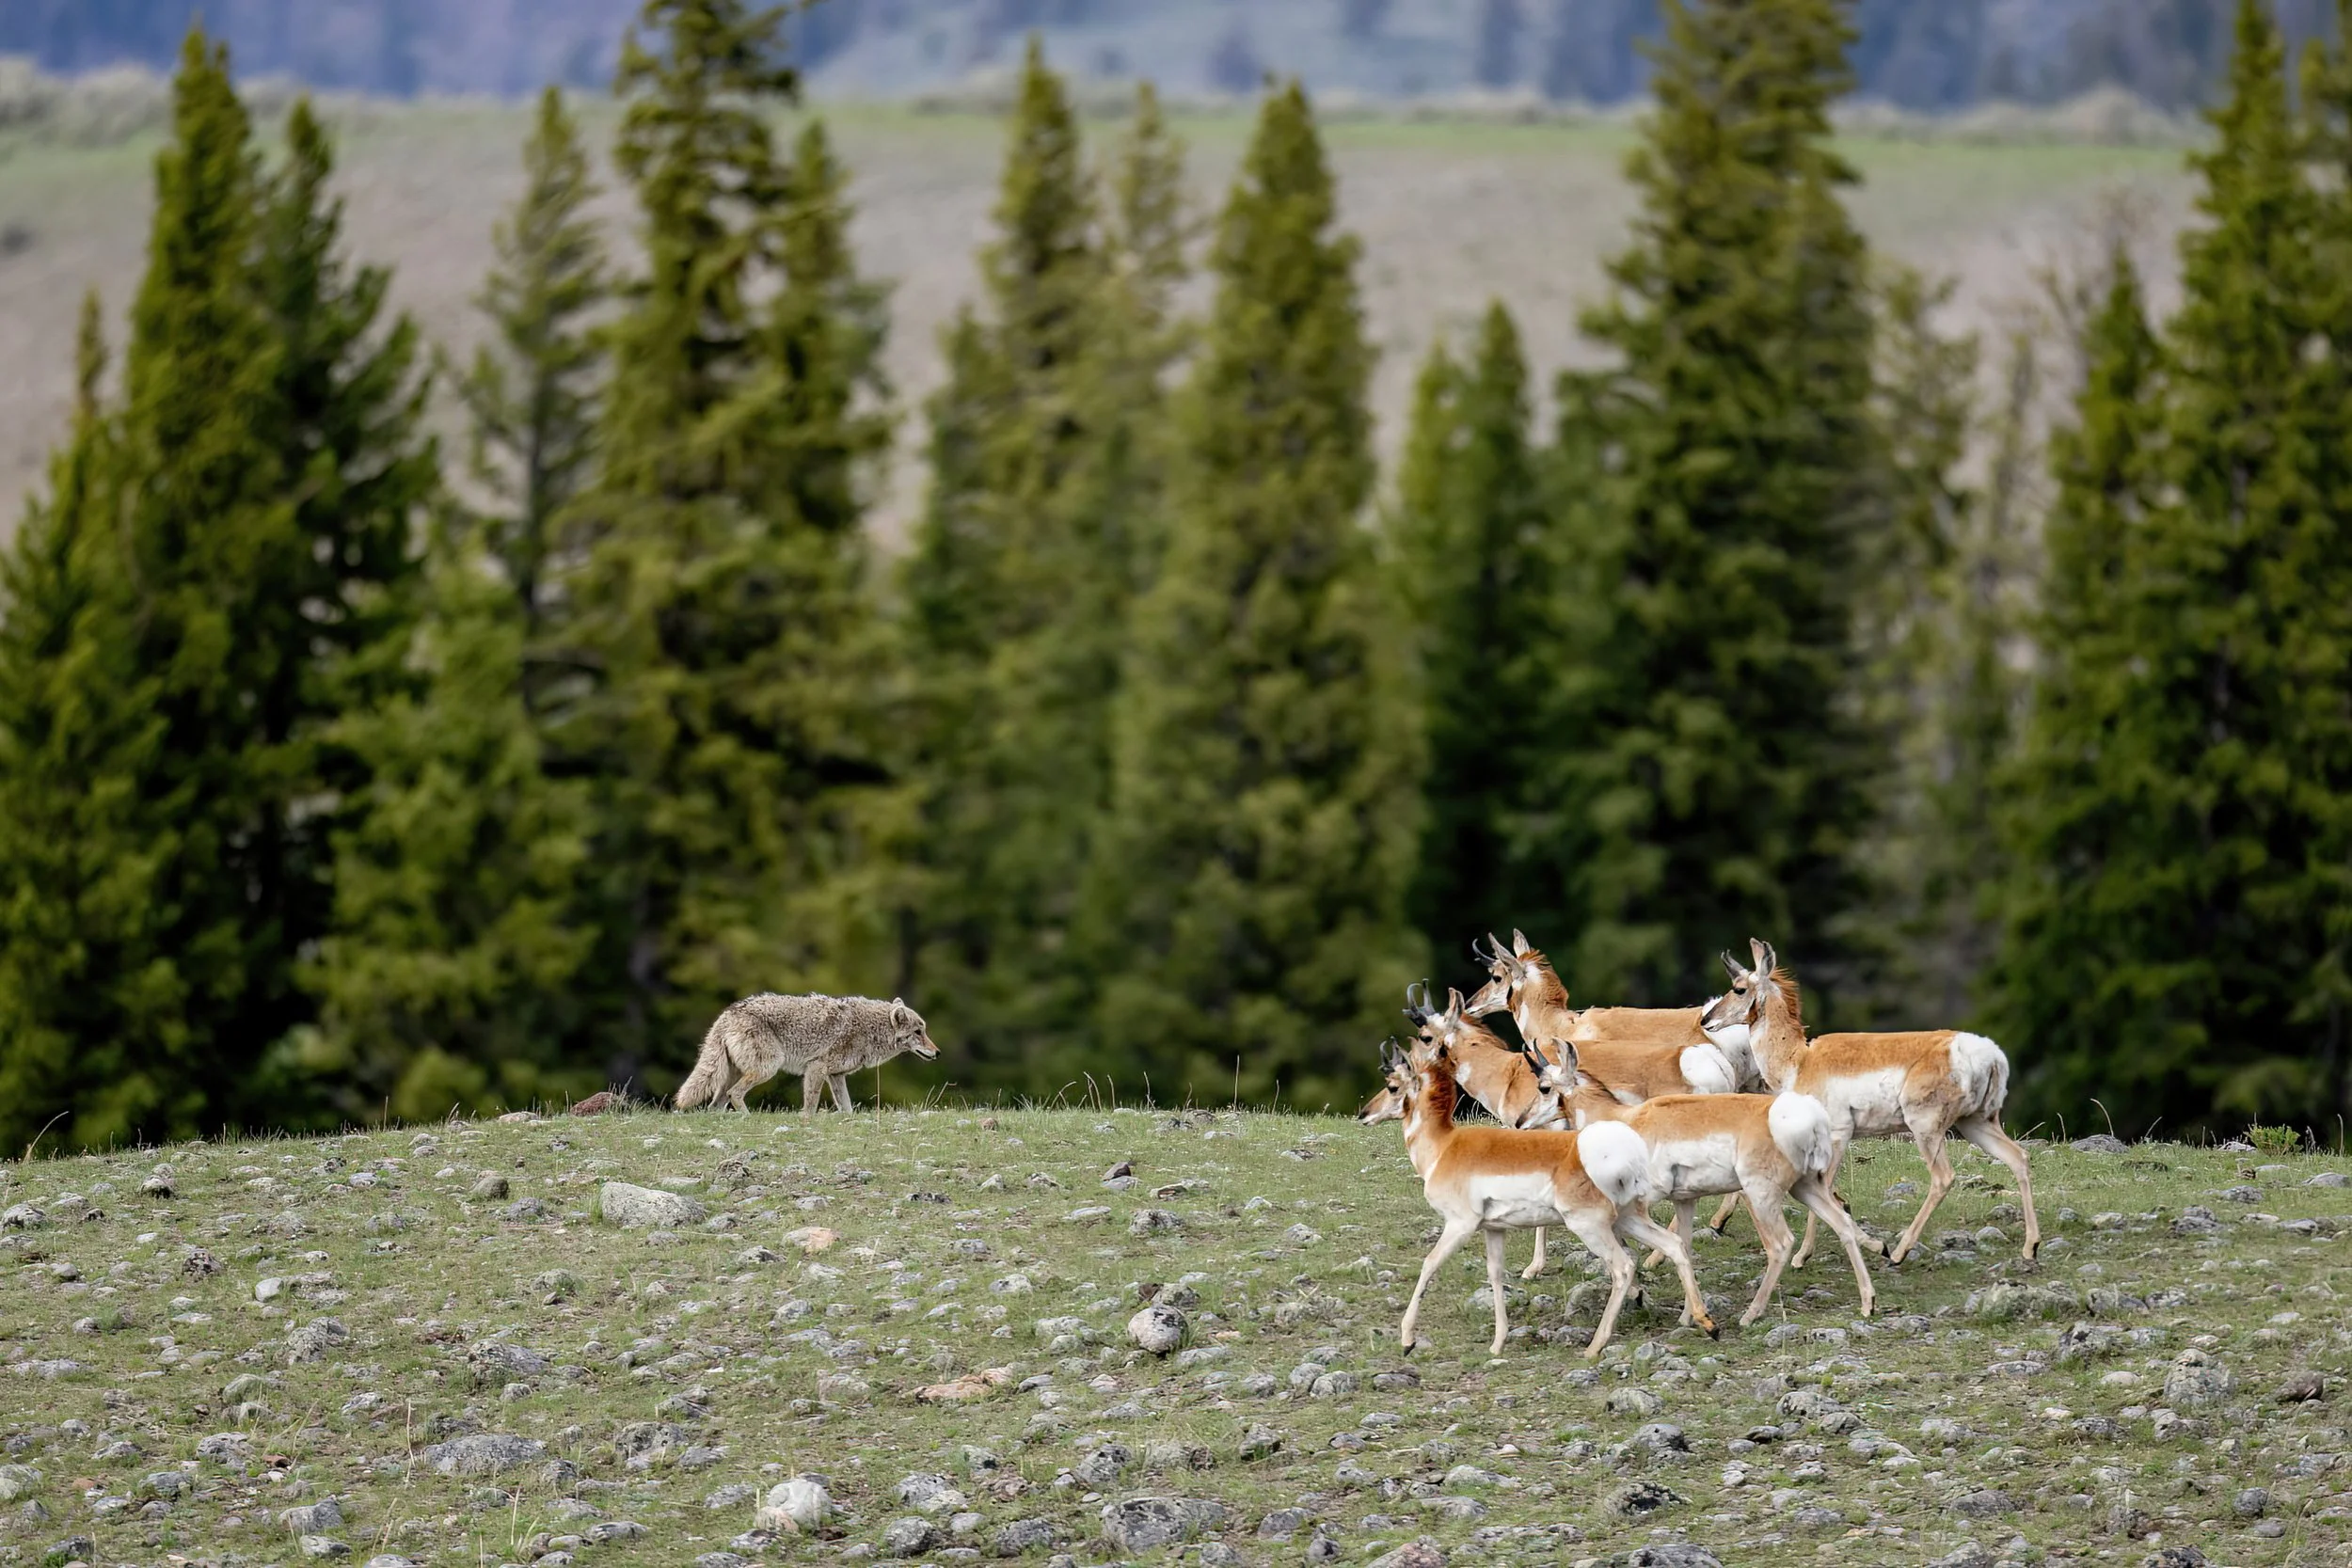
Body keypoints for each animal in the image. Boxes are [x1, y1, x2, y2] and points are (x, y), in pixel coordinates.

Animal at [1389, 1033, 1717, 1359]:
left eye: (1544, 1087)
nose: (1520, 1122)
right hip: (1631, 1215)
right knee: (1674, 1245)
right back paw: (1702, 1321)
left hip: (1597, 1222)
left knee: (1629, 1263)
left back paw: (1599, 1343)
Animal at [1524, 1045, 1878, 1324]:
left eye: (1543, 1087)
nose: (1520, 1122)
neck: (1625, 1119)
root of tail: (1803, 1115)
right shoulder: (1685, 1200)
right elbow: (1684, 1246)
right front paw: (1686, 1315)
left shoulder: (1640, 1201)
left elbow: (1630, 1244)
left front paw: (1641, 1295)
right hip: (1806, 1187)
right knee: (1842, 1224)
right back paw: (1867, 1302)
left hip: (1761, 1196)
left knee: (1780, 1245)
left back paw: (1751, 1314)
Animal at [1702, 940, 2040, 1267]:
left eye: (1738, 988)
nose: (1706, 1020)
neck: (1800, 1060)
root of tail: (1985, 1052)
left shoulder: (1837, 1135)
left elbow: (1823, 1192)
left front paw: (1802, 1256)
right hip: (1976, 1123)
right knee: (2018, 1158)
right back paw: (2030, 1247)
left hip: (1927, 1128)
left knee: (1943, 1178)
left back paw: (1900, 1252)